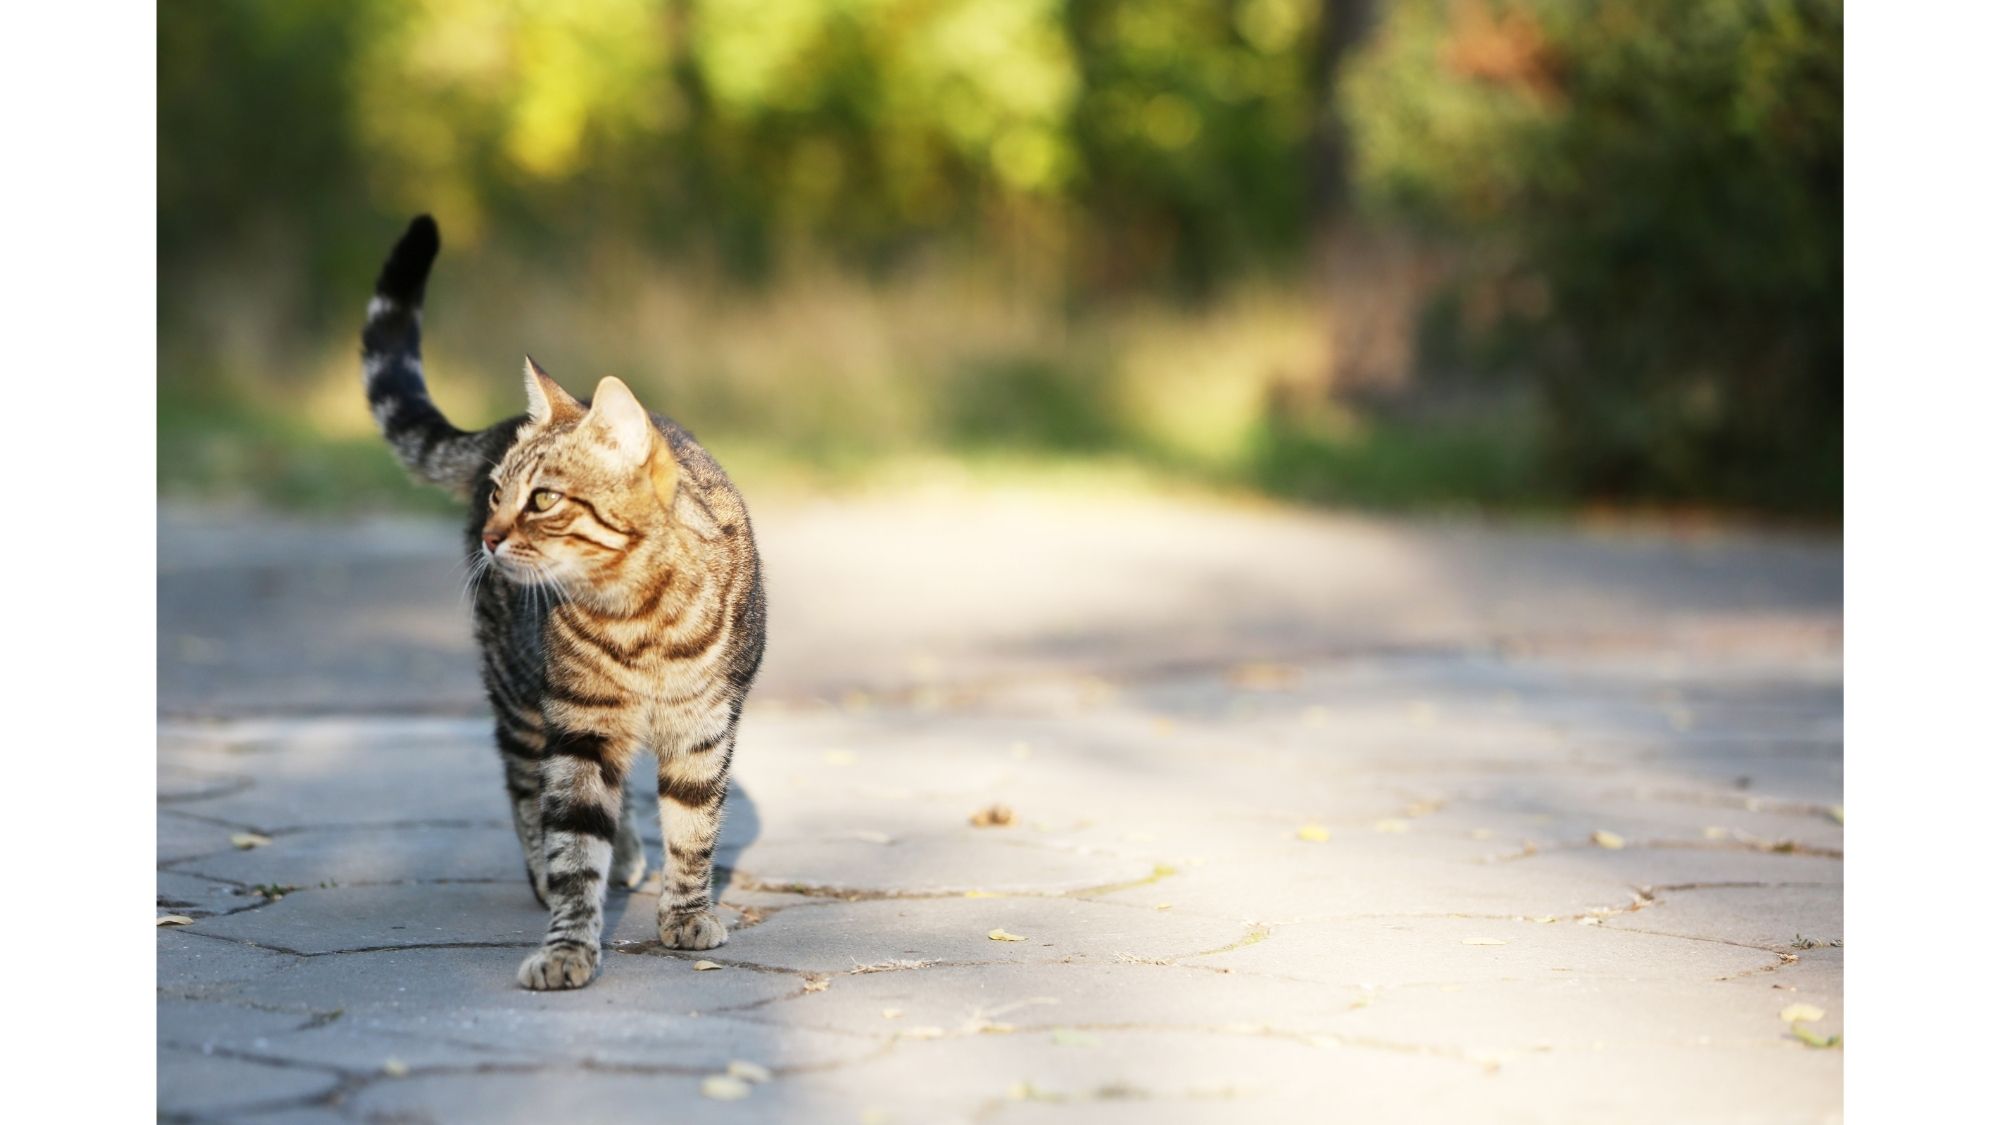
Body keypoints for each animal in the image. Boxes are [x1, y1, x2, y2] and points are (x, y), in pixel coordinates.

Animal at [360, 214, 764, 984]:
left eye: (542, 500)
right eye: (497, 493)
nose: (490, 536)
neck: (639, 616)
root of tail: (496, 422)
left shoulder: (703, 726)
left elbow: (693, 829)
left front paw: (687, 914)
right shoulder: (575, 725)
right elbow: (574, 840)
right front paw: (569, 944)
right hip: (521, 694)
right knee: (525, 785)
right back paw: (550, 870)